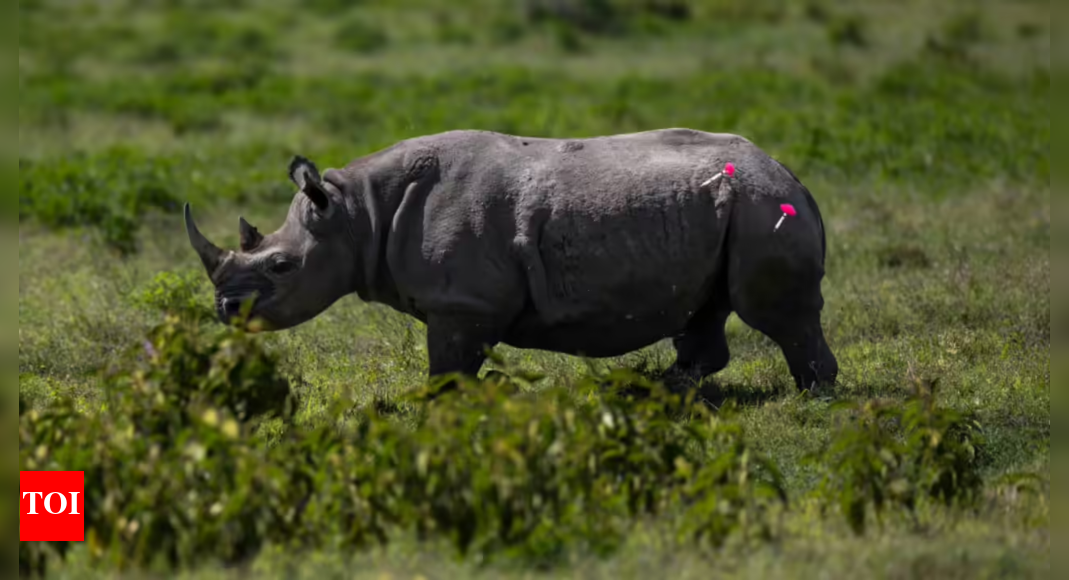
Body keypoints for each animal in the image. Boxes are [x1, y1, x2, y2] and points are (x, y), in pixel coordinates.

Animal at [184, 128, 838, 394]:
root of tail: (796, 177)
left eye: (280, 267)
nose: (225, 310)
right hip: (730, 208)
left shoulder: (462, 305)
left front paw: (436, 412)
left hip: (760, 206)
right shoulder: (462, 305)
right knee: (707, 307)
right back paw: (659, 389)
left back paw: (813, 396)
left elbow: (448, 370)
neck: (354, 214)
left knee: (772, 313)